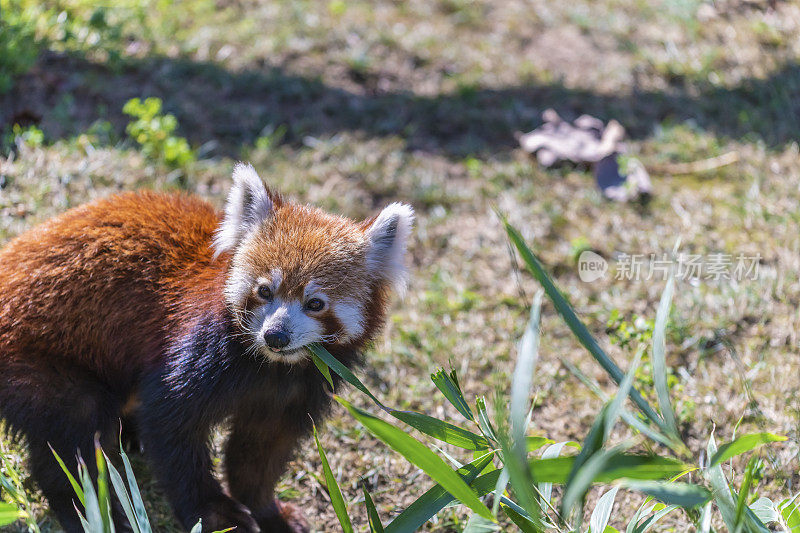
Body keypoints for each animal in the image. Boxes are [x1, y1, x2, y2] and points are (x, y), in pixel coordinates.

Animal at [0, 163, 412, 532]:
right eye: (265, 291)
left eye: (315, 303)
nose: (275, 336)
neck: (272, 368)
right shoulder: (198, 350)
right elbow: (172, 430)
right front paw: (217, 515)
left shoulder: (300, 390)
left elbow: (260, 453)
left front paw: (268, 512)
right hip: (38, 359)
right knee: (76, 436)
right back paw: (92, 511)